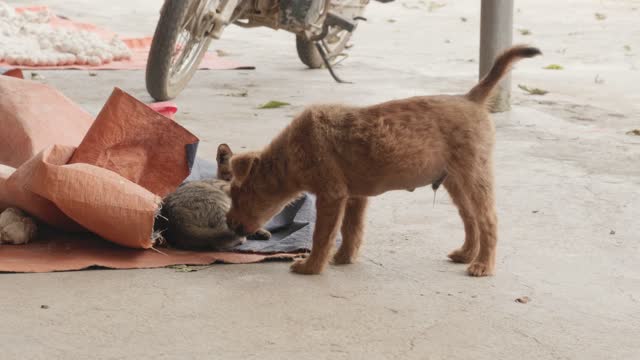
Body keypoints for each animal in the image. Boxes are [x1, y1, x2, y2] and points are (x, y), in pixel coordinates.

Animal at [228, 45, 544, 276]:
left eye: (236, 194)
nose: (229, 224)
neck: (291, 154)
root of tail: (471, 98)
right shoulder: (354, 196)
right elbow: (351, 231)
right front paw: (343, 258)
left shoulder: (331, 195)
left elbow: (322, 235)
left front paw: (311, 267)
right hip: (455, 181)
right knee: (471, 218)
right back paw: (466, 254)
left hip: (474, 174)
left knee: (488, 219)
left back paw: (482, 265)